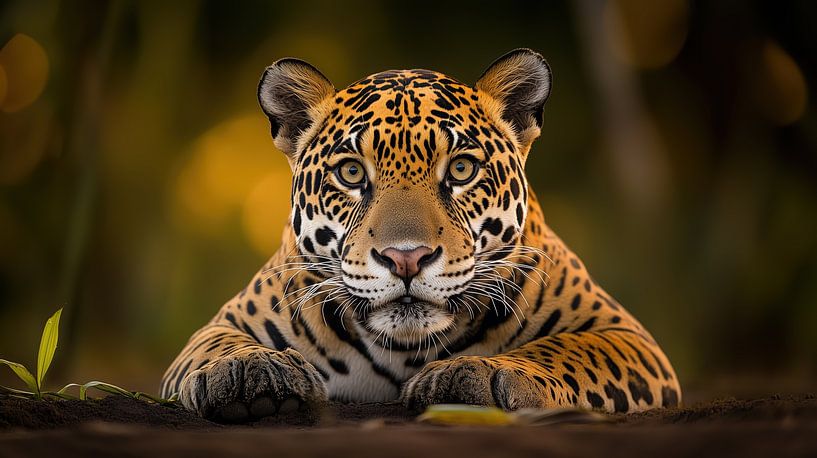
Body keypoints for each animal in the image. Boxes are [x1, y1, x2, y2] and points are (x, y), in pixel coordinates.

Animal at [160, 49, 681, 422]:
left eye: (462, 169)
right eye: (352, 172)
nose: (405, 258)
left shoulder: (625, 336)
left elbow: (561, 351)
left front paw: (478, 371)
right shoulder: (223, 323)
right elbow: (219, 345)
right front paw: (247, 369)